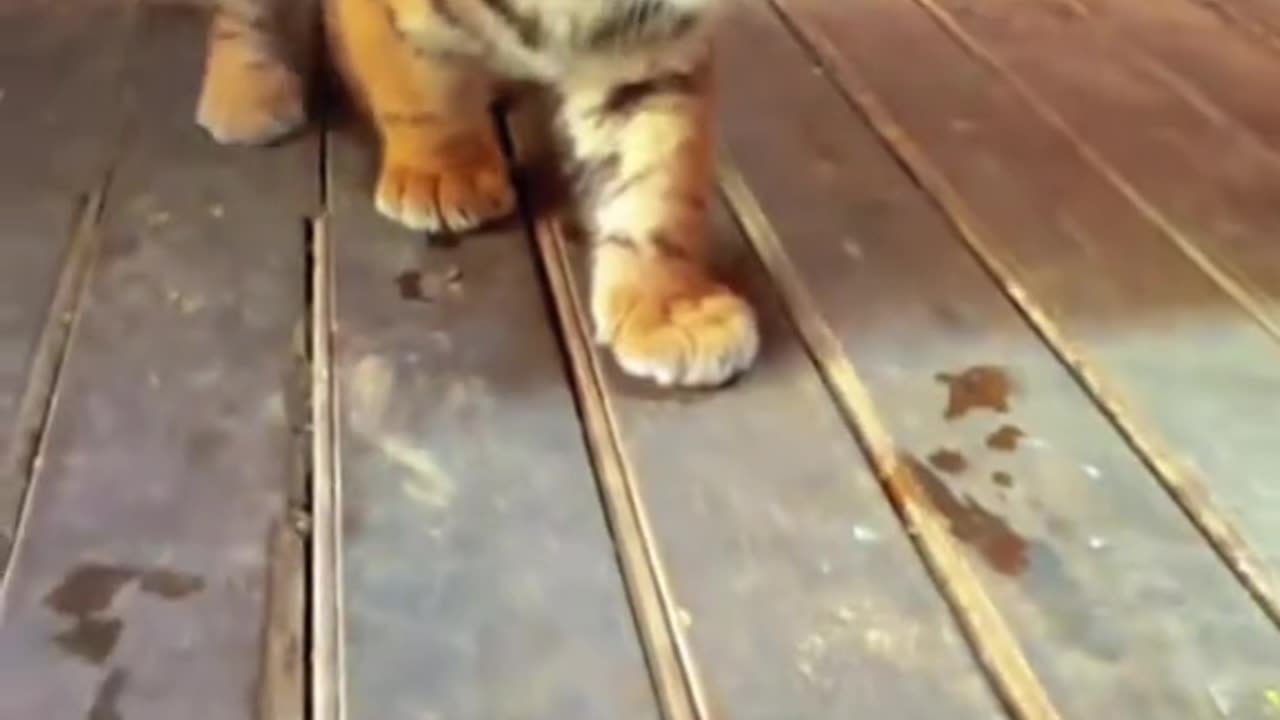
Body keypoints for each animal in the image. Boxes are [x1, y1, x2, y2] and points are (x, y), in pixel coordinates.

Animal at [196, 0, 759, 388]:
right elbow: (413, 74)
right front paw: (444, 174)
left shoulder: (649, 46)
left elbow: (657, 176)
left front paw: (671, 310)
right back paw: (245, 93)